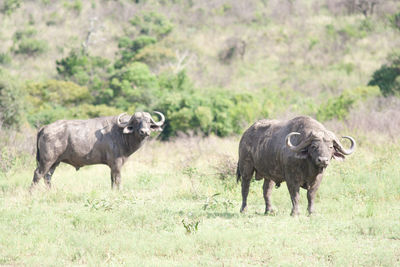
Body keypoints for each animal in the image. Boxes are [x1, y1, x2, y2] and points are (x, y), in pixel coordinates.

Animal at [29, 111, 164, 191]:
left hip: (55, 162)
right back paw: (31, 193)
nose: (144, 132)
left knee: (47, 176)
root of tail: (44, 128)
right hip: (47, 160)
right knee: (38, 174)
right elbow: (118, 179)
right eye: (136, 121)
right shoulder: (117, 164)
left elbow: (112, 179)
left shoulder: (112, 165)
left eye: (148, 121)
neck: (121, 133)